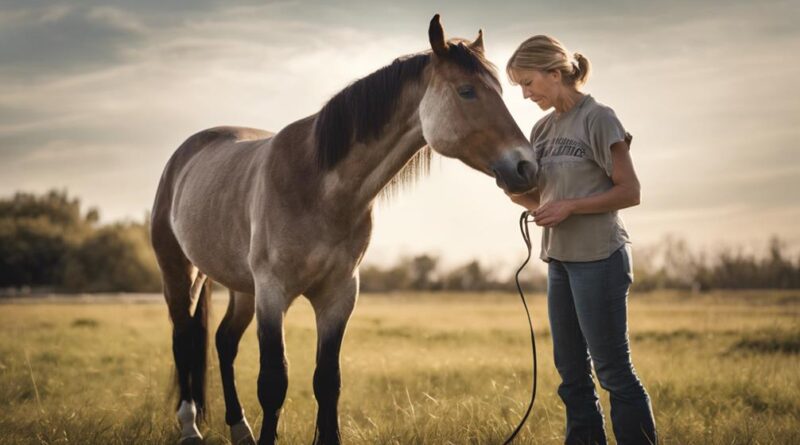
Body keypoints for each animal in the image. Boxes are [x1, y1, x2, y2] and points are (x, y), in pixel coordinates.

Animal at [150, 14, 536, 444]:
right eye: (467, 91)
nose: (526, 166)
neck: (319, 187)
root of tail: (185, 155)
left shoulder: (338, 294)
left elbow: (327, 381)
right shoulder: (272, 292)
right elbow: (273, 383)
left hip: (241, 287)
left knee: (223, 342)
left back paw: (239, 428)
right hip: (181, 274)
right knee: (185, 341)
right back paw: (190, 427)